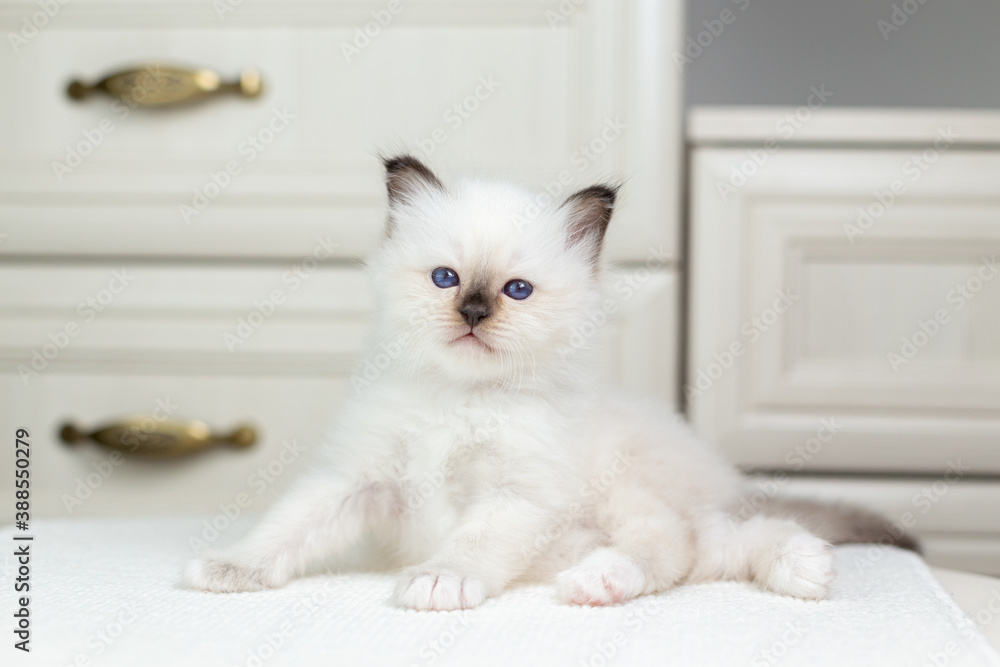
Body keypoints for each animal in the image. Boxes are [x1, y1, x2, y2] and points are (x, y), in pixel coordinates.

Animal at [184, 155, 916, 612]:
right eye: (446, 279)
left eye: (517, 290)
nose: (473, 313)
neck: (462, 400)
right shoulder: (355, 478)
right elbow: (287, 528)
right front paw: (227, 568)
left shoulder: (520, 494)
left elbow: (471, 543)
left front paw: (440, 580)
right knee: (721, 546)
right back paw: (800, 568)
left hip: (625, 487)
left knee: (674, 545)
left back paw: (608, 578)